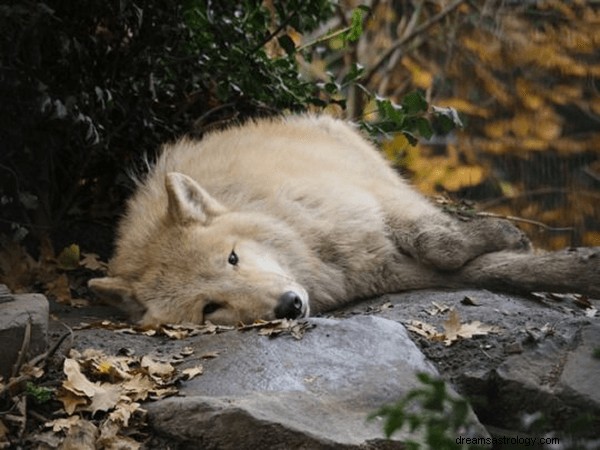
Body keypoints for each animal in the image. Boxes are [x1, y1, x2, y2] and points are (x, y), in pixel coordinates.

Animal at [89, 114, 600, 326]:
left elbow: (440, 240)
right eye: (210, 307)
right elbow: (457, 261)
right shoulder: (384, 271)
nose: (290, 305)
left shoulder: (372, 202)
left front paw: (509, 236)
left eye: (232, 258)